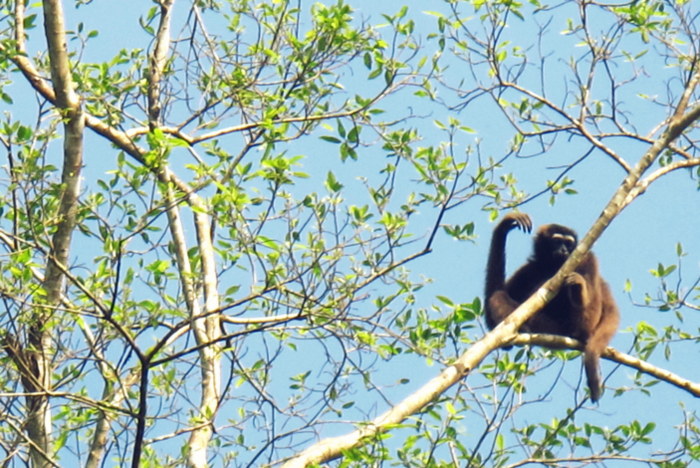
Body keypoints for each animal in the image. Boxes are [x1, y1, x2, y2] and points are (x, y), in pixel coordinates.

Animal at [484, 212, 620, 402]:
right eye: (557, 241)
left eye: (568, 243)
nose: (564, 250)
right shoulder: (530, 268)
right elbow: (490, 316)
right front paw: (504, 226)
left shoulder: (587, 258)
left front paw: (578, 286)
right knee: (497, 296)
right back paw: (516, 334)